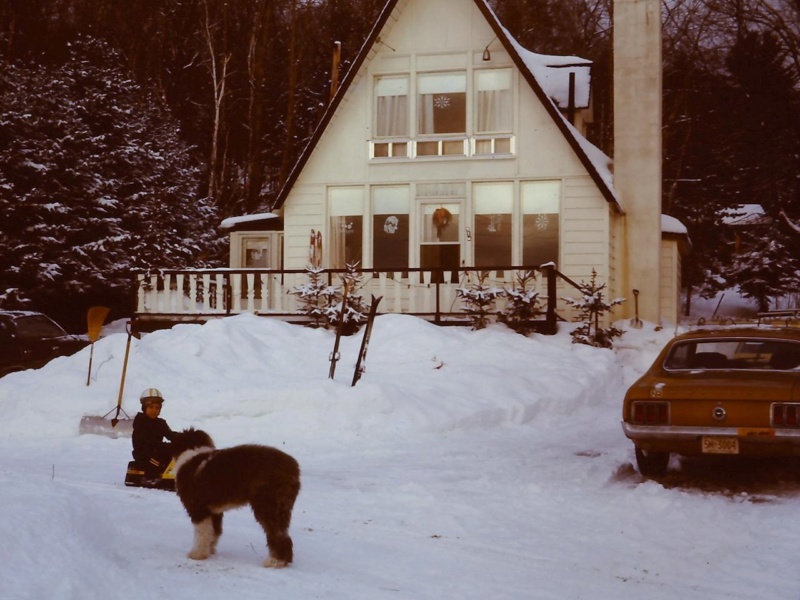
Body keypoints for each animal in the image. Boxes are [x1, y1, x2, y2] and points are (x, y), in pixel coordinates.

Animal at [170, 426, 302, 568]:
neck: (192, 453)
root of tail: (293, 468)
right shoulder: (214, 511)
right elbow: (214, 532)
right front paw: (209, 551)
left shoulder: (198, 509)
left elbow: (202, 532)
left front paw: (197, 554)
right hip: (281, 505)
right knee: (283, 533)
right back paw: (282, 561)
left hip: (268, 504)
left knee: (277, 534)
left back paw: (275, 561)